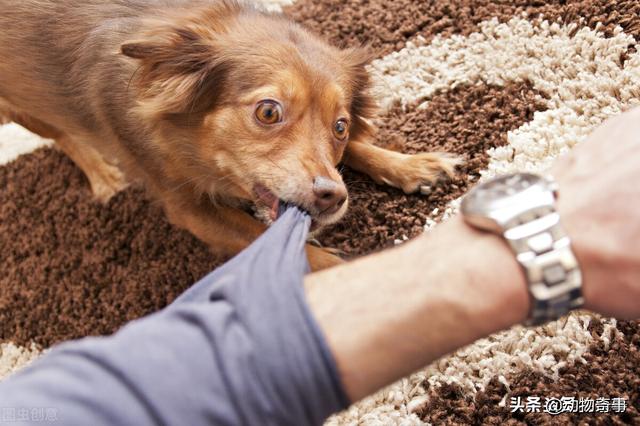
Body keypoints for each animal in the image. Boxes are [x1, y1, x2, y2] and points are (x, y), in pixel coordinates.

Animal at [1, 0, 460, 272]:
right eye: (268, 111)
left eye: (341, 127)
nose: (333, 196)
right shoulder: (189, 209)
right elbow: (270, 241)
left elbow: (361, 152)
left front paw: (409, 165)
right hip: (19, 107)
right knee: (60, 134)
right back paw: (101, 173)